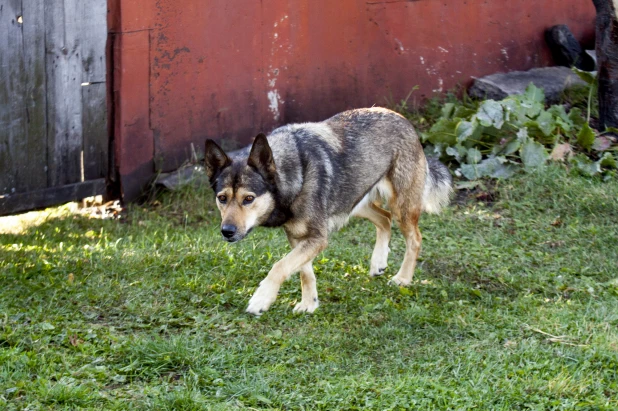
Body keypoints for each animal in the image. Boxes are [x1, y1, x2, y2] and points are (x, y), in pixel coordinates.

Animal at [205, 106, 450, 316]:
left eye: (248, 199)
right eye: (222, 198)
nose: (227, 231)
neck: (294, 173)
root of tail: (403, 119)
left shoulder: (317, 238)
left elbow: (279, 266)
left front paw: (261, 299)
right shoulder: (298, 237)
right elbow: (305, 272)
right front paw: (309, 303)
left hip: (401, 207)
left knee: (414, 238)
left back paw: (403, 278)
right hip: (354, 203)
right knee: (384, 219)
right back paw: (378, 262)